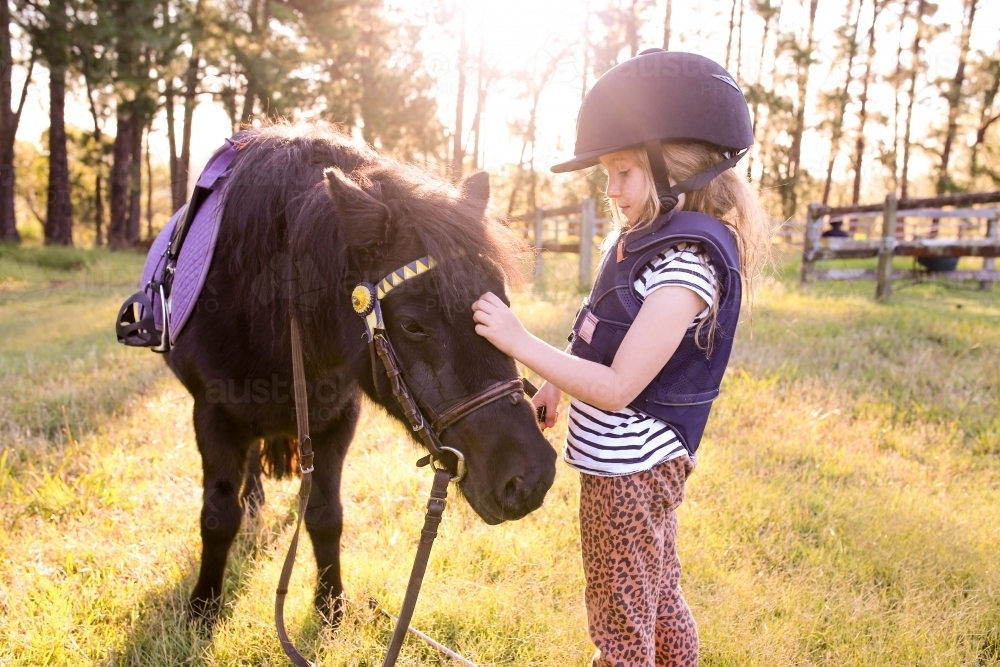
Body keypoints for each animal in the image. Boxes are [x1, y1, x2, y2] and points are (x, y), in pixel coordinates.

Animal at [162, 124, 556, 628]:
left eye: (501, 306)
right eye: (412, 324)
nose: (531, 478)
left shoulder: (337, 420)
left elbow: (326, 516)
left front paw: (331, 604)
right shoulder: (212, 416)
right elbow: (217, 517)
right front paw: (202, 609)